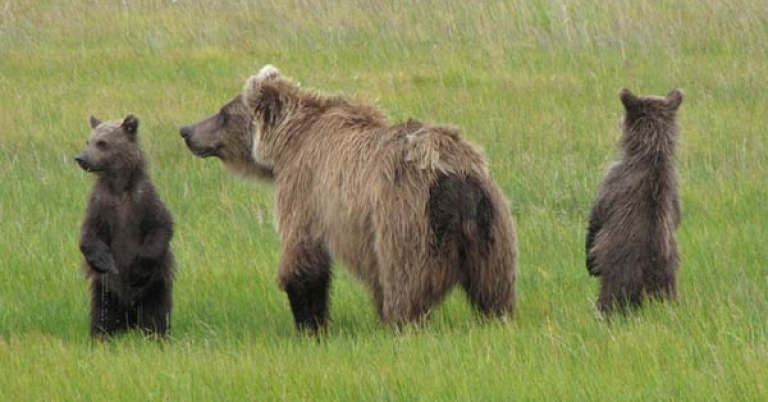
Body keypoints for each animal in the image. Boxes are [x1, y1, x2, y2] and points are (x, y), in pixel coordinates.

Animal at [75, 114, 175, 339]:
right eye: (88, 141)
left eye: (102, 143)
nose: (81, 158)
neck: (119, 188)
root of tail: (130, 316)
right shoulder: (100, 205)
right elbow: (89, 234)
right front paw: (104, 261)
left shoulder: (143, 201)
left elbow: (161, 227)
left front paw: (137, 269)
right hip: (106, 292)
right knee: (101, 316)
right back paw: (99, 337)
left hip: (155, 286)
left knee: (156, 313)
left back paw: (156, 336)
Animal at [179, 65, 517, 332]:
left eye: (223, 114)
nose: (187, 130)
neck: (289, 144)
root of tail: (453, 174)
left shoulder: (306, 190)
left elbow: (303, 255)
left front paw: (310, 323)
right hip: (491, 225)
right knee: (494, 284)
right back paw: (496, 316)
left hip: (405, 220)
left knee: (404, 279)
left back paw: (400, 321)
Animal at [585, 88, 683, 315]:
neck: (652, 154)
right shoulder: (674, 191)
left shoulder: (614, 180)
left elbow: (597, 217)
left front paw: (589, 260)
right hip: (667, 283)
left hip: (619, 277)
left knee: (609, 300)